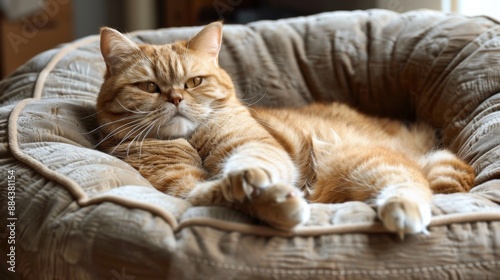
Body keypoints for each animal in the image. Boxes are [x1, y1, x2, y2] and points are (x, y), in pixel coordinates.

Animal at [95, 22, 474, 236]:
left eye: (194, 82)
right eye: (149, 87)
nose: (175, 98)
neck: (190, 139)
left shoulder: (256, 146)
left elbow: (245, 167)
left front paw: (251, 183)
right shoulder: (179, 189)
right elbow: (212, 192)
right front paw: (273, 202)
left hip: (358, 161)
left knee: (408, 184)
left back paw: (403, 211)